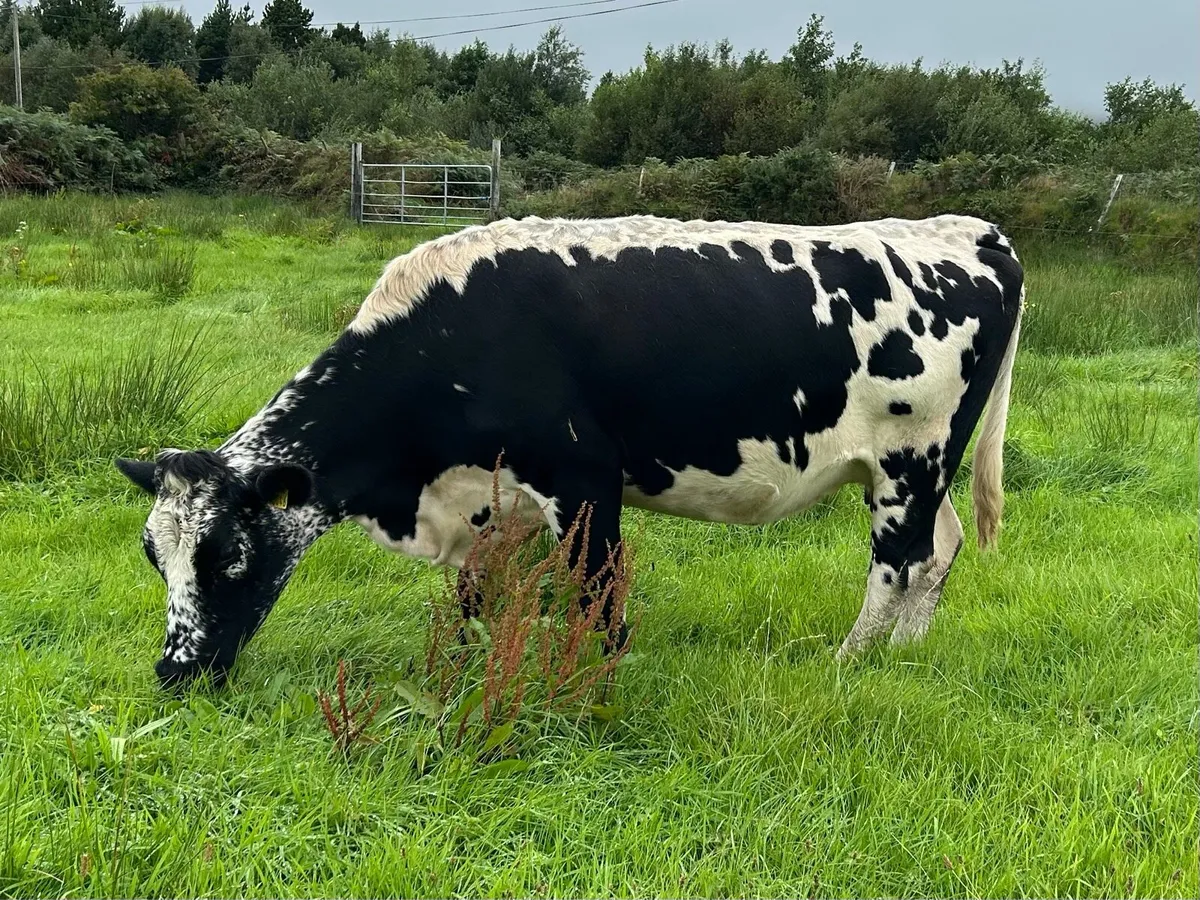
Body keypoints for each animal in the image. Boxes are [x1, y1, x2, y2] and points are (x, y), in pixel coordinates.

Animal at [116, 213, 1024, 687]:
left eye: (230, 558)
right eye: (157, 559)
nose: (174, 670)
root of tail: (966, 231)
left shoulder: (584, 474)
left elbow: (599, 596)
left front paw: (592, 685)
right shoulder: (493, 500)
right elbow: (476, 599)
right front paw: (474, 669)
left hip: (910, 456)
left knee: (899, 562)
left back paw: (849, 663)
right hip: (921, 470)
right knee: (940, 551)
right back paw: (905, 656)